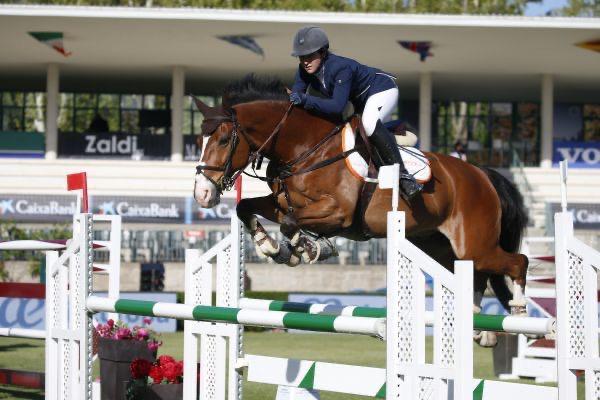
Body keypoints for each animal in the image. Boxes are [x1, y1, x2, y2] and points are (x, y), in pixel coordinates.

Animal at [193, 76, 528, 346]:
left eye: (223, 139)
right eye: (199, 140)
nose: (202, 194)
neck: (305, 148)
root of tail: (483, 174)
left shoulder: (337, 213)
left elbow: (290, 224)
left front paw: (306, 248)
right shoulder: (283, 203)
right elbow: (246, 208)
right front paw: (272, 247)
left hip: (474, 245)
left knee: (517, 263)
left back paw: (519, 312)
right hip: (441, 247)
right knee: (476, 276)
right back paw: (478, 326)